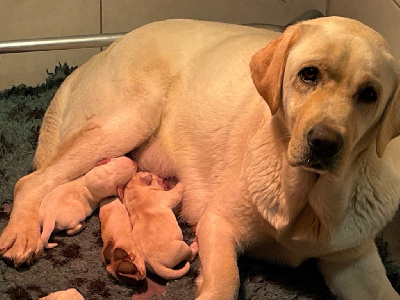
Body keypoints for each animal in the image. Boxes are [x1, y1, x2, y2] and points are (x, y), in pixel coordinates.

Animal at [0, 17, 400, 300]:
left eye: (369, 94)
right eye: (309, 74)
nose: (324, 142)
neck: (306, 201)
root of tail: (99, 54)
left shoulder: (353, 260)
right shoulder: (218, 222)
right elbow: (226, 280)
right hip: (130, 119)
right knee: (31, 181)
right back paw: (21, 234)